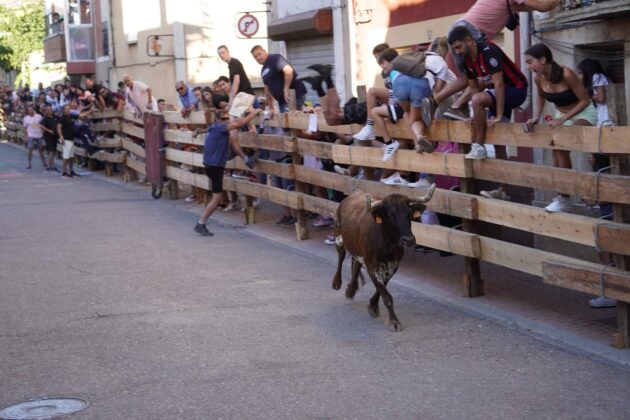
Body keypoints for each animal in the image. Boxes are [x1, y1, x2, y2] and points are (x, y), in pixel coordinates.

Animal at [334, 185, 436, 332]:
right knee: (341, 258)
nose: (409, 239)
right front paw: (394, 321)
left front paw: (373, 306)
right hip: (339, 237)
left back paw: (351, 289)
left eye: (409, 213)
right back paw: (337, 283)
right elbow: (386, 294)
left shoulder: (392, 267)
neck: (387, 246)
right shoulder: (371, 266)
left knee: (356, 264)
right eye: (390, 215)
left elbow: (381, 289)